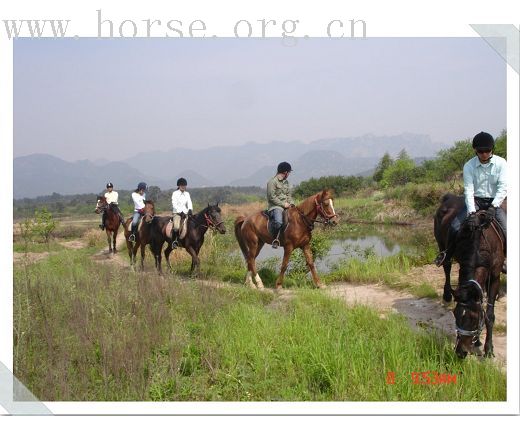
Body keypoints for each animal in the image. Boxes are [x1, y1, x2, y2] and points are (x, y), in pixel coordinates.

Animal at [432, 194, 506, 360]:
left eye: (474, 318)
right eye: (455, 314)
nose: (461, 352)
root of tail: (448, 198)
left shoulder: (494, 276)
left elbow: (489, 314)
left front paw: (488, 348)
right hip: (441, 245)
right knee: (446, 266)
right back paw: (447, 295)